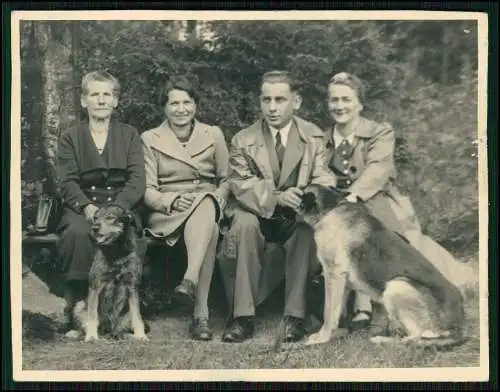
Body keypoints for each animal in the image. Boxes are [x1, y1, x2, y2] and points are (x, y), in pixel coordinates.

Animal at [72, 204, 148, 342]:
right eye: (95, 218)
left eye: (110, 217)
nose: (95, 228)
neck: (116, 253)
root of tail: (108, 332)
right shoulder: (95, 286)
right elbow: (92, 316)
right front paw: (91, 336)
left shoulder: (132, 286)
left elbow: (137, 317)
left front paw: (141, 335)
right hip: (79, 306)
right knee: (85, 325)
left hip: (126, 313)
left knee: (123, 327)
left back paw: (126, 335)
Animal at [296, 185, 464, 348]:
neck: (331, 208)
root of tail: (458, 329)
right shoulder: (342, 282)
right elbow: (336, 311)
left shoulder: (333, 274)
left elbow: (328, 313)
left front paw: (322, 338)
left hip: (397, 285)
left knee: (412, 339)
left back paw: (382, 340)